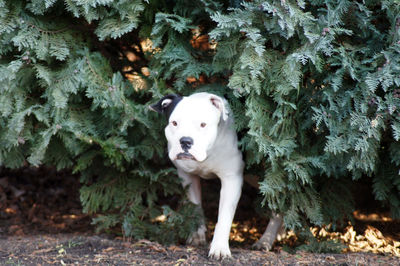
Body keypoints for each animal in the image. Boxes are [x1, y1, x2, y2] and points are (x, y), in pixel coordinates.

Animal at [150, 92, 244, 258]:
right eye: (174, 123)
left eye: (203, 125)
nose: (185, 141)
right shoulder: (188, 177)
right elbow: (195, 206)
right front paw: (196, 235)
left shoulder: (232, 179)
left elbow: (224, 217)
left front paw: (219, 248)